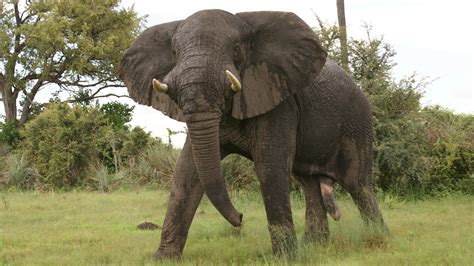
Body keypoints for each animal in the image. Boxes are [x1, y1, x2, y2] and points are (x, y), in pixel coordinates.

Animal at [117, 9, 386, 258]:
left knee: (358, 185)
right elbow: (187, 171)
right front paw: (163, 258)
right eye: (174, 53)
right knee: (309, 184)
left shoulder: (278, 98)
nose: (240, 217)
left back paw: (377, 238)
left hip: (357, 123)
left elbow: (270, 166)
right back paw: (315, 246)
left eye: (236, 49)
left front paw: (285, 258)